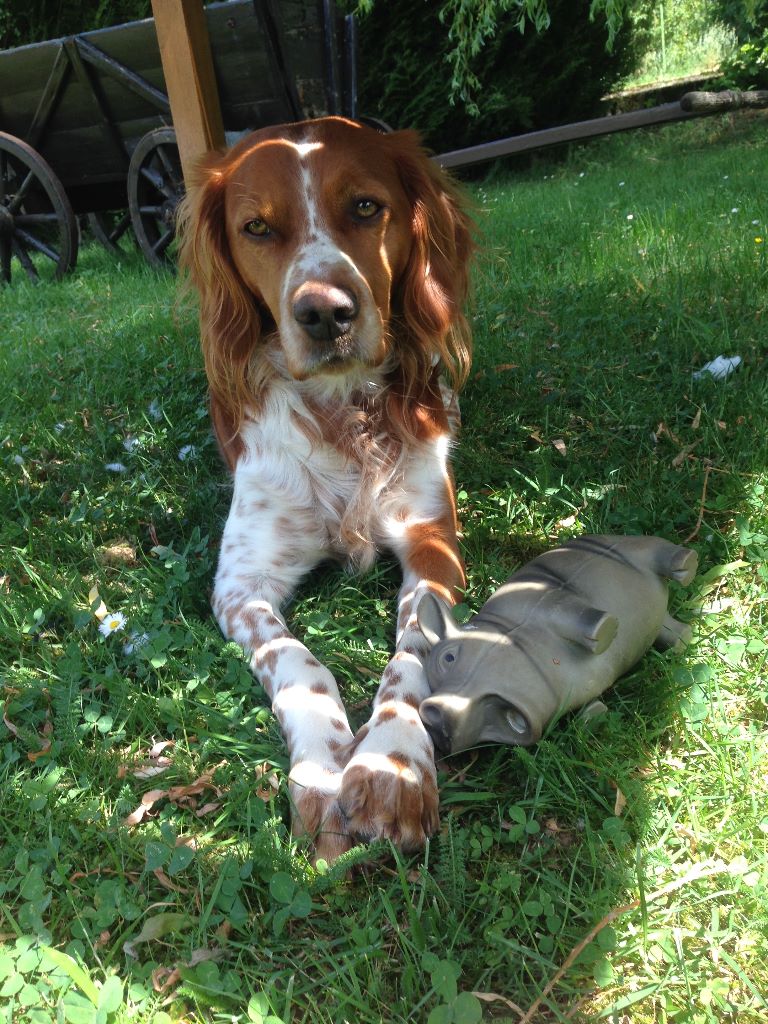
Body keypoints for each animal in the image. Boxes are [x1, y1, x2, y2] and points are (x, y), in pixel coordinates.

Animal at [180, 116, 475, 860]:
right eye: (257, 227)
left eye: (366, 207)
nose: (324, 314)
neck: (341, 412)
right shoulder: (240, 585)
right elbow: (298, 662)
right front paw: (321, 771)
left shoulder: (433, 541)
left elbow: (416, 647)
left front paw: (391, 767)